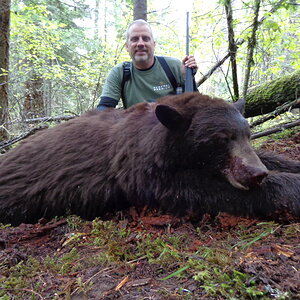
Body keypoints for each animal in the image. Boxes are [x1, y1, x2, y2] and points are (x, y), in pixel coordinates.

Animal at [0, 92, 300, 225]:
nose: (256, 173)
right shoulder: (145, 173)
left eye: (246, 134)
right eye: (220, 138)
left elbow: (269, 156)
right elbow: (204, 190)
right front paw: (290, 186)